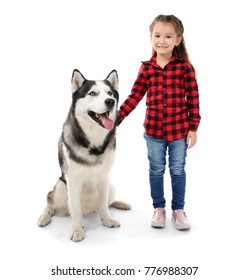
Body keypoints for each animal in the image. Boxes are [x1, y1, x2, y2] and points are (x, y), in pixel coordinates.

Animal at [37, 69, 131, 241]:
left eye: (110, 93)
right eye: (92, 93)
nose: (110, 101)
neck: (94, 143)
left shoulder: (104, 178)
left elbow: (103, 205)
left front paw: (107, 221)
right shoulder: (73, 181)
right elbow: (75, 209)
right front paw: (76, 230)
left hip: (111, 187)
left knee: (106, 203)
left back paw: (120, 204)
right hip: (61, 188)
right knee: (50, 203)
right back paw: (44, 217)